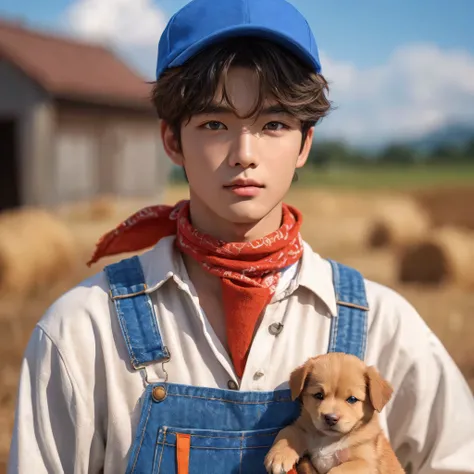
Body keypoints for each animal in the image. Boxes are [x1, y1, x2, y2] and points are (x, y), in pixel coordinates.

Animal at [264, 354, 406, 474]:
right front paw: (278, 456)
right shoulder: (303, 428)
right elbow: (288, 431)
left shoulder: (366, 463)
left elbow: (339, 470)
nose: (331, 418)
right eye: (318, 395)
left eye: (352, 399)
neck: (328, 439)